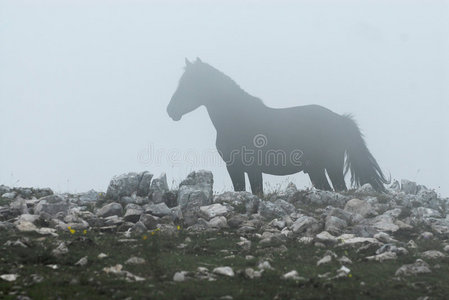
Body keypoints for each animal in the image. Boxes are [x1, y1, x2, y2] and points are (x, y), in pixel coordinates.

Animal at [166, 58, 386, 195]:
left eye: (190, 83)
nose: (171, 111)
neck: (237, 119)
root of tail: (340, 120)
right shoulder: (236, 167)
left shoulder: (250, 168)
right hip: (316, 170)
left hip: (332, 166)